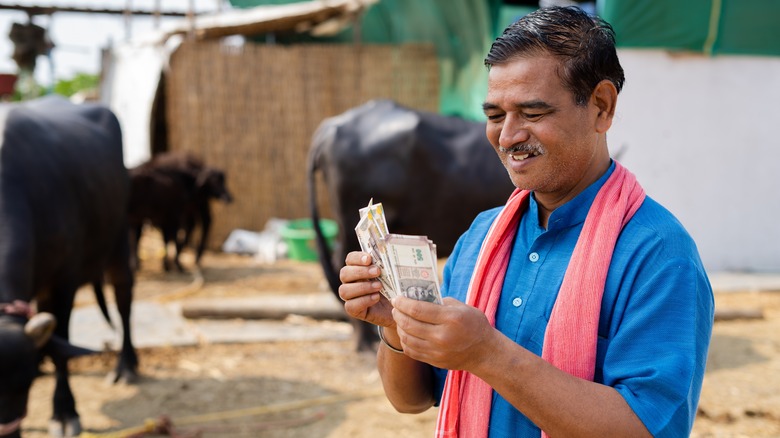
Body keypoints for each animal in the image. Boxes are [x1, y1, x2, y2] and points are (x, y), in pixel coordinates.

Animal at [0, 96, 136, 438]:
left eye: (25, 385)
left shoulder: (64, 281)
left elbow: (61, 341)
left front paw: (64, 411)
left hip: (119, 241)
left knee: (124, 299)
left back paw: (127, 366)